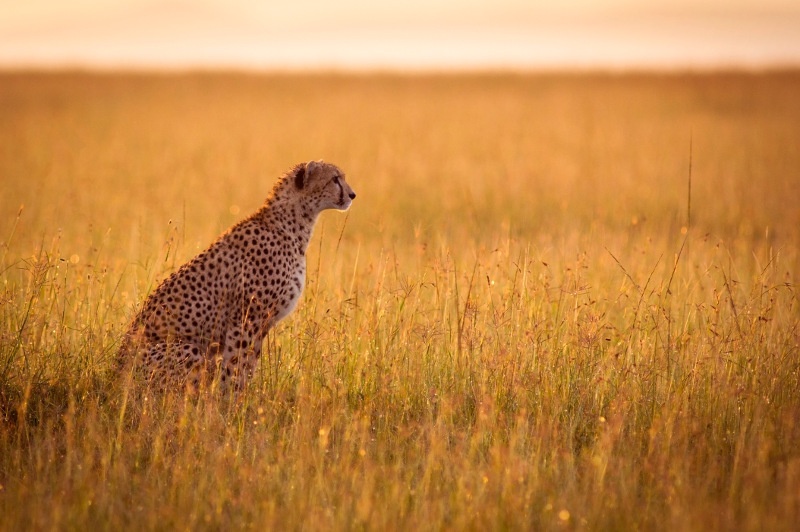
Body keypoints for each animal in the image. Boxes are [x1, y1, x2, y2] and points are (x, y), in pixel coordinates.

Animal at [119, 159, 356, 390]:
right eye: (335, 179)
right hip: (186, 349)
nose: (353, 194)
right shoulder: (247, 318)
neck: (292, 225)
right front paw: (232, 397)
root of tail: (115, 370)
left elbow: (249, 364)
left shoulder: (261, 324)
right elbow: (236, 363)